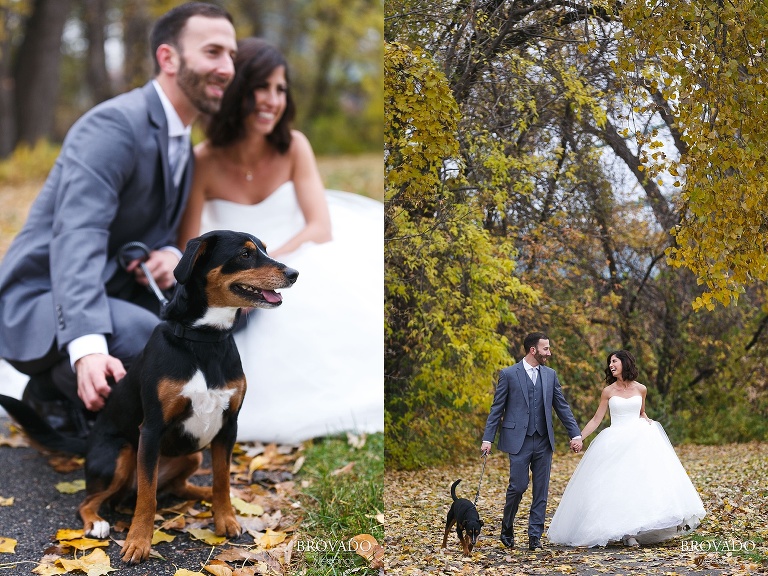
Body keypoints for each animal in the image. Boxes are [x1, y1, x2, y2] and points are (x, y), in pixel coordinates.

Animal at [0, 230, 296, 564]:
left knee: (179, 486)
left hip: (191, 454)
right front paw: (138, 543)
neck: (203, 341)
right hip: (121, 452)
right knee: (89, 502)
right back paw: (97, 523)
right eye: (245, 255)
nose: (294, 273)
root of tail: (88, 443)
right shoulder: (152, 430)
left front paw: (226, 519)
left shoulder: (228, 426)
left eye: (264, 250)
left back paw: (203, 495)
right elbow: (147, 495)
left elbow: (221, 481)